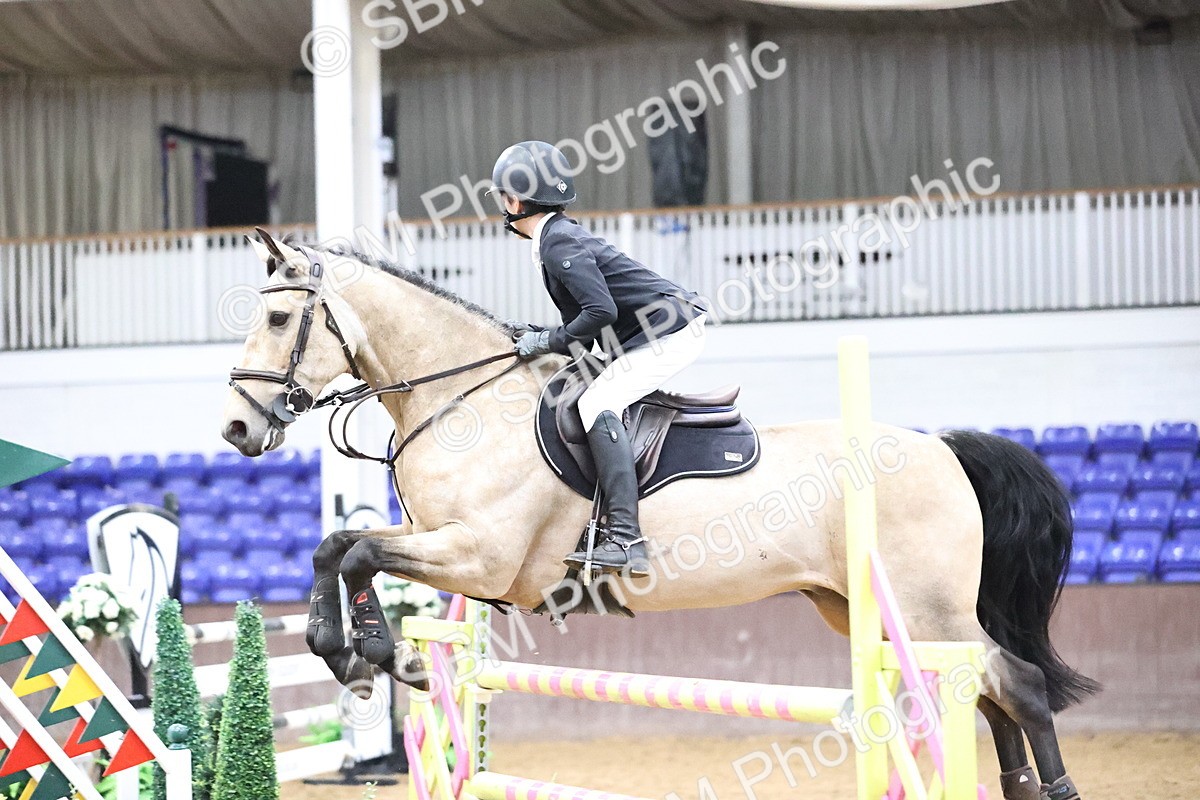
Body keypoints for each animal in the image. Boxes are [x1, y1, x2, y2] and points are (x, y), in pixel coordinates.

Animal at [220, 230, 1096, 800]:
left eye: (276, 319)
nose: (236, 429)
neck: (462, 399)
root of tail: (940, 447)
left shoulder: (483, 556)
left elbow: (359, 554)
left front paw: (376, 655)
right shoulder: (442, 541)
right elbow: (337, 545)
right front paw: (343, 651)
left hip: (921, 608)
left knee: (1012, 684)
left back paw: (1057, 790)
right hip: (863, 609)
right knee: (988, 693)